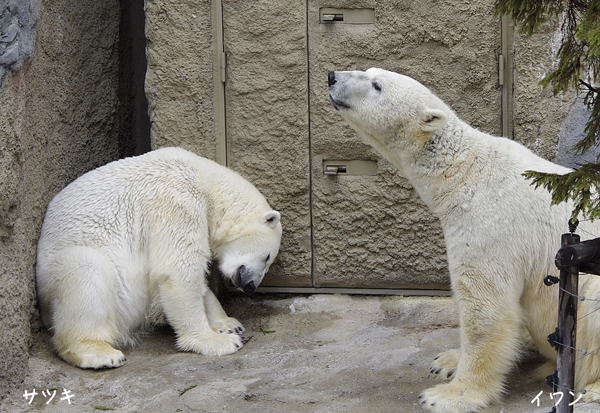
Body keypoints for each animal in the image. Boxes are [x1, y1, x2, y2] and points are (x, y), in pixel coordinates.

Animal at [36, 146, 282, 368]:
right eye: (268, 257)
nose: (250, 286)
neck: (204, 180)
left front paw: (229, 324)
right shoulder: (176, 201)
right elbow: (178, 269)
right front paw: (219, 341)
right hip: (61, 279)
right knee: (86, 269)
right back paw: (101, 354)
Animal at [330, 68, 600, 412]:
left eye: (377, 85)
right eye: (368, 71)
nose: (332, 76)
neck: (465, 170)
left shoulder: (492, 221)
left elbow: (485, 305)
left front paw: (449, 394)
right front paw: (447, 360)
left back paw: (590, 387)